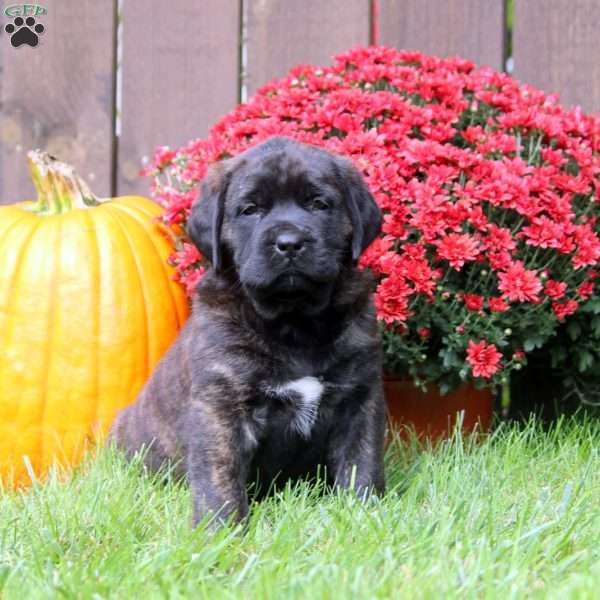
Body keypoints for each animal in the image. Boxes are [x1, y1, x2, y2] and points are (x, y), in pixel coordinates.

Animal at [110, 136, 384, 524]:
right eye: (250, 210)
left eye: (318, 204)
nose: (289, 242)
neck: (294, 322)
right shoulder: (222, 406)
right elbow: (219, 475)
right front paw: (221, 528)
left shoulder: (359, 398)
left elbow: (362, 464)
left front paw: (364, 516)